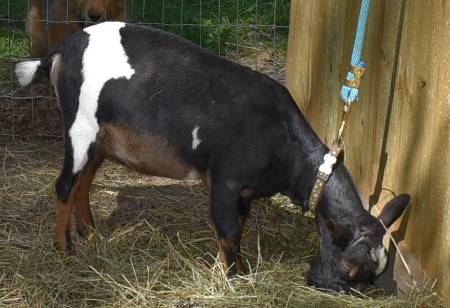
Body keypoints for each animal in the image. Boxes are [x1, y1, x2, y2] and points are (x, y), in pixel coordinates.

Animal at [14, 22, 412, 294]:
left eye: (376, 275)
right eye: (348, 269)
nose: (323, 287)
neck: (281, 138)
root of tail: (60, 50)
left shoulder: (245, 192)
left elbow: (238, 230)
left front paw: (242, 268)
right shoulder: (225, 180)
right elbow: (226, 229)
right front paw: (230, 277)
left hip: (101, 138)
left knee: (85, 180)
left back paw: (90, 232)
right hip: (80, 126)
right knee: (65, 184)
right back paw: (65, 249)